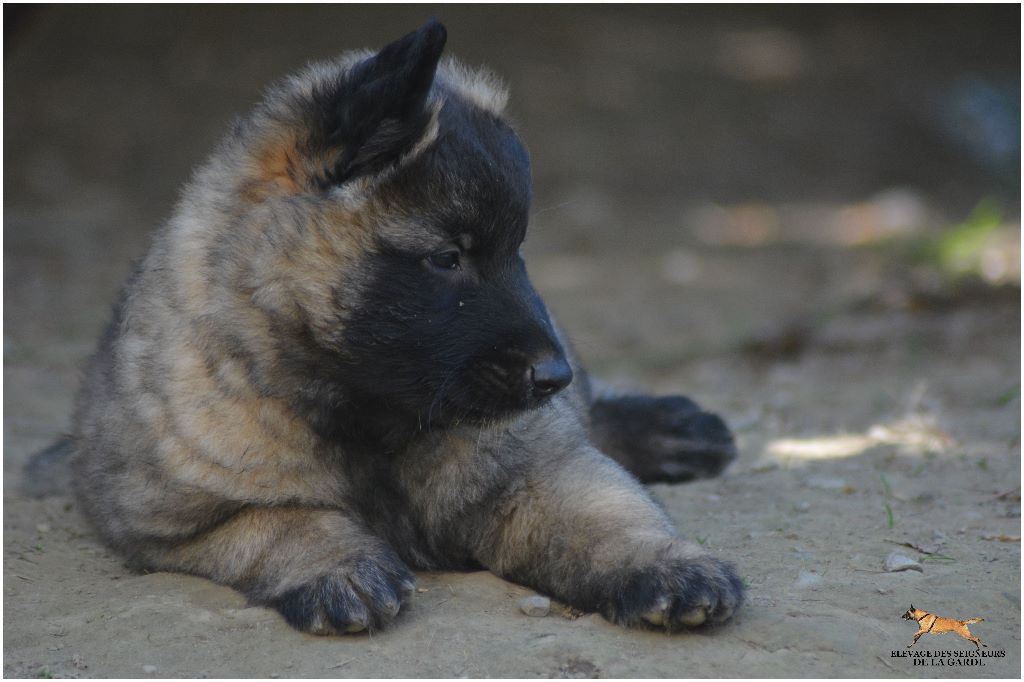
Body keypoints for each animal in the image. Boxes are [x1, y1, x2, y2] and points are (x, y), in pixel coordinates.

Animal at [55, 20, 743, 635]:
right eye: (447, 257)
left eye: (517, 251)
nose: (553, 377)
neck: (366, 415)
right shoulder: (176, 525)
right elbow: (282, 520)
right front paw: (340, 566)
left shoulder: (537, 469)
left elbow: (604, 513)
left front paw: (668, 566)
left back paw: (673, 429)